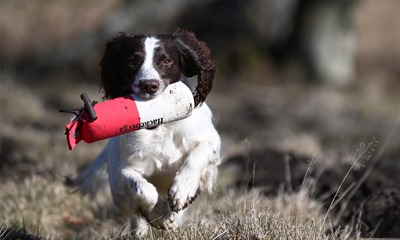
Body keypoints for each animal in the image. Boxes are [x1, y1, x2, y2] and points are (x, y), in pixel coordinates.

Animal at [67, 28, 220, 236]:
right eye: (132, 61)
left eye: (166, 60)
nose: (149, 85)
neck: (160, 126)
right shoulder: (124, 167)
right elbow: (143, 190)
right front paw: (160, 213)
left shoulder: (211, 139)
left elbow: (199, 152)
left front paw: (183, 188)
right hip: (118, 195)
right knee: (135, 214)